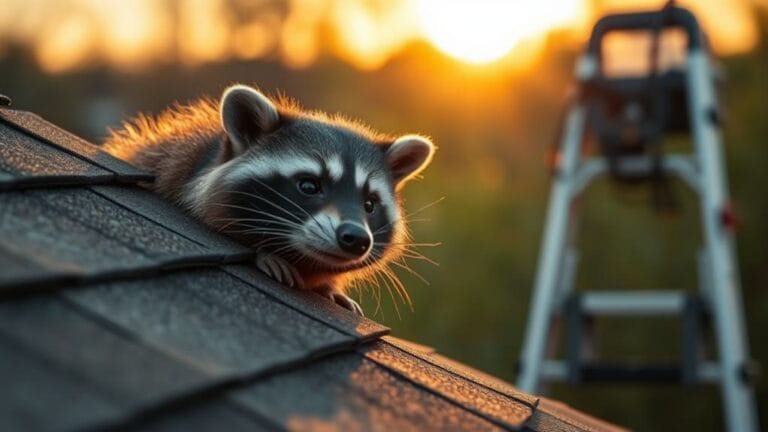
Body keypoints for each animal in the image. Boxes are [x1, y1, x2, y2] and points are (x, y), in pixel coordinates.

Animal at [104, 84, 435, 315]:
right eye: (309, 185)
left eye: (369, 204)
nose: (356, 238)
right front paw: (264, 253)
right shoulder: (177, 169)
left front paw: (329, 287)